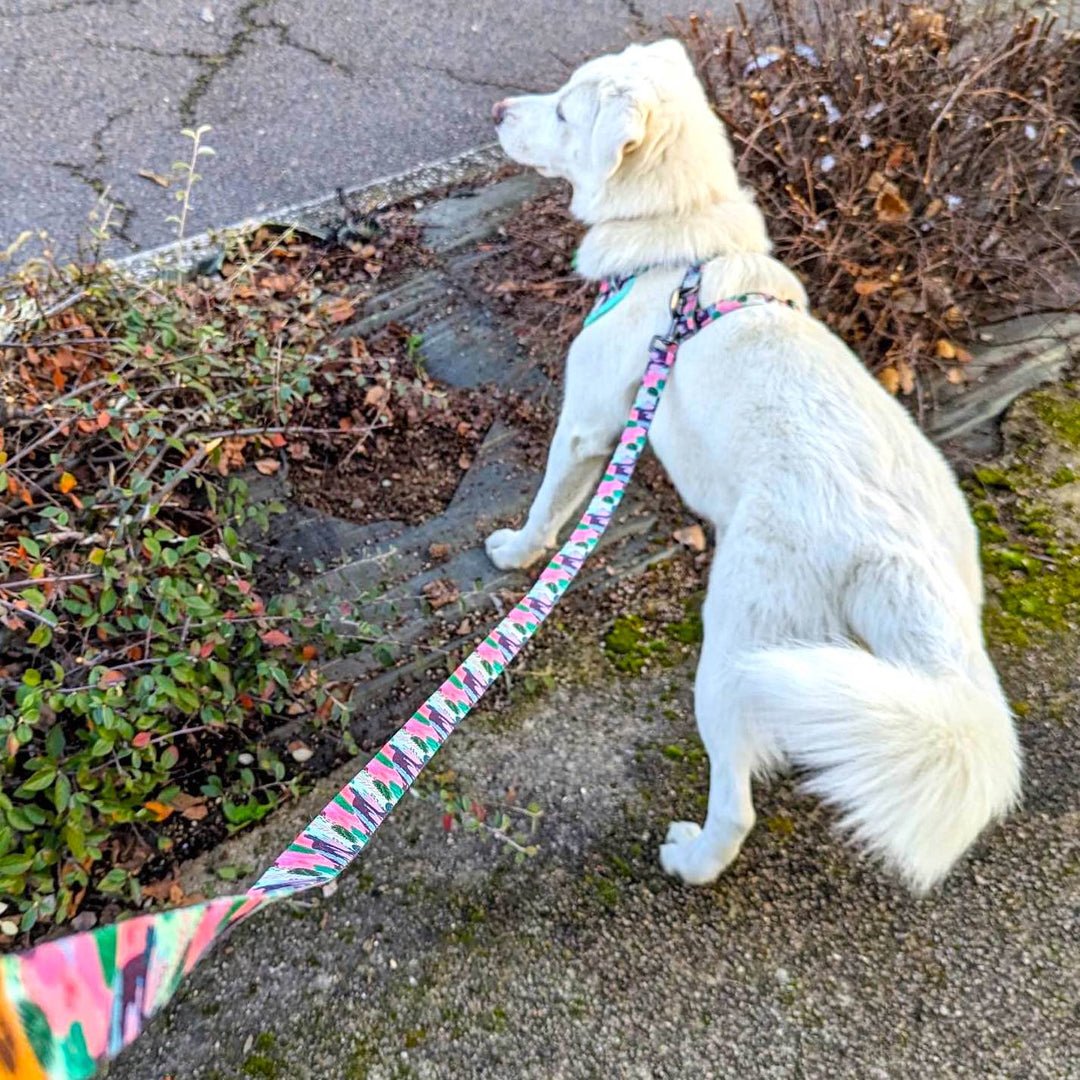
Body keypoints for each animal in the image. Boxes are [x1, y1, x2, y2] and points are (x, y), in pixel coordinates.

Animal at [490, 38, 1019, 894]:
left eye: (565, 111)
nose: (498, 111)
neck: (682, 246)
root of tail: (893, 547)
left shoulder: (587, 424)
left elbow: (549, 505)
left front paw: (514, 552)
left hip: (735, 647)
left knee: (735, 801)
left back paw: (693, 858)